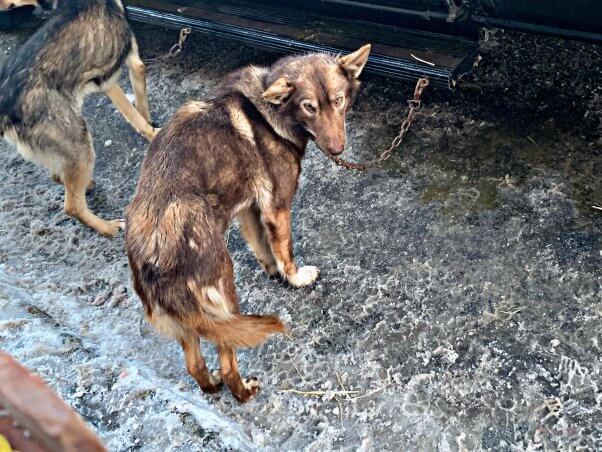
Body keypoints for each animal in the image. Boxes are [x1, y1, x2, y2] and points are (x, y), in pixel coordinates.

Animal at [0, 0, 157, 237]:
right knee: (72, 206)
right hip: (80, 145)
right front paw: (151, 131)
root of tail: (7, 108)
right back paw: (107, 227)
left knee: (59, 178)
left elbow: (139, 105)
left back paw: (86, 185)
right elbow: (135, 110)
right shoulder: (121, 72)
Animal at [125, 43, 370, 402]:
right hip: (224, 292)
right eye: (309, 107)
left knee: (194, 365)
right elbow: (285, 249)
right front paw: (295, 277)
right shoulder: (277, 206)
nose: (338, 149)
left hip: (192, 322)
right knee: (227, 362)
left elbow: (264, 248)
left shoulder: (249, 209)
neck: (268, 111)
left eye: (338, 100)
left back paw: (211, 385)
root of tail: (153, 254)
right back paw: (243, 392)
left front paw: (273, 272)